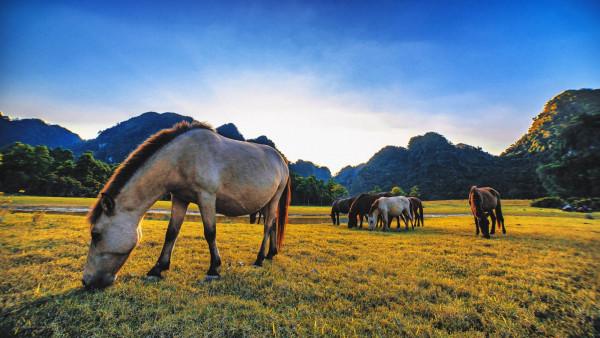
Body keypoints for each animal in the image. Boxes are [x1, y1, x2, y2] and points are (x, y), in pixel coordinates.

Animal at [82, 120, 292, 290]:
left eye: (96, 234)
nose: (86, 281)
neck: (181, 157)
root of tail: (281, 160)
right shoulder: (180, 198)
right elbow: (171, 232)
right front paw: (157, 269)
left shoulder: (206, 197)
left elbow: (210, 233)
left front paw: (214, 268)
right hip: (267, 202)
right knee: (273, 224)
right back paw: (271, 254)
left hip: (274, 199)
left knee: (267, 226)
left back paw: (259, 259)